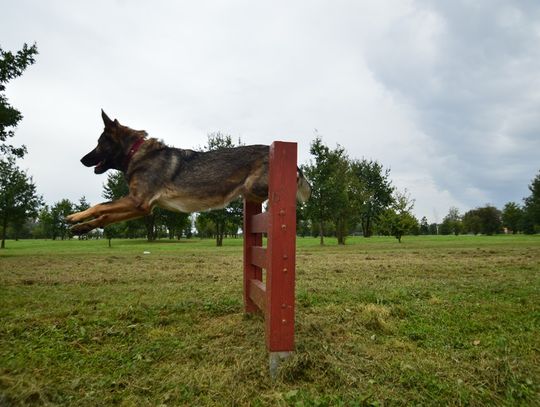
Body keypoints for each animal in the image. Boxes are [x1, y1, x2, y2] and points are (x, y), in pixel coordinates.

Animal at [67, 111, 312, 236]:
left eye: (99, 144)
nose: (81, 160)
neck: (136, 152)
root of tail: (295, 163)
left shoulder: (138, 200)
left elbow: (100, 206)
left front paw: (74, 217)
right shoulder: (143, 207)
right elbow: (106, 216)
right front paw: (82, 227)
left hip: (254, 186)